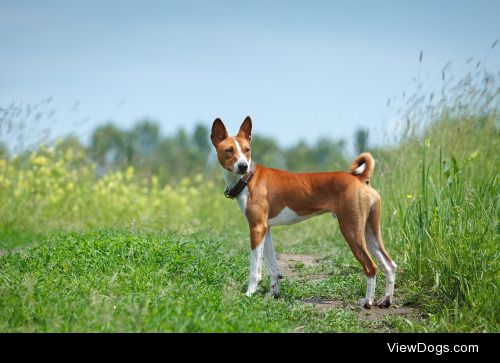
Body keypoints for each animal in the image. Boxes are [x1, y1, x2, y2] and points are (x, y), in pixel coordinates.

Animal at [211, 117, 398, 310]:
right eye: (229, 150)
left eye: (247, 150)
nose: (243, 166)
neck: (248, 179)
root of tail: (360, 178)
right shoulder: (266, 229)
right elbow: (273, 267)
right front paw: (273, 294)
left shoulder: (256, 228)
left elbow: (255, 269)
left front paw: (249, 294)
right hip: (370, 231)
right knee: (390, 265)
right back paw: (386, 300)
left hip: (352, 231)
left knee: (371, 266)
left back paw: (367, 301)